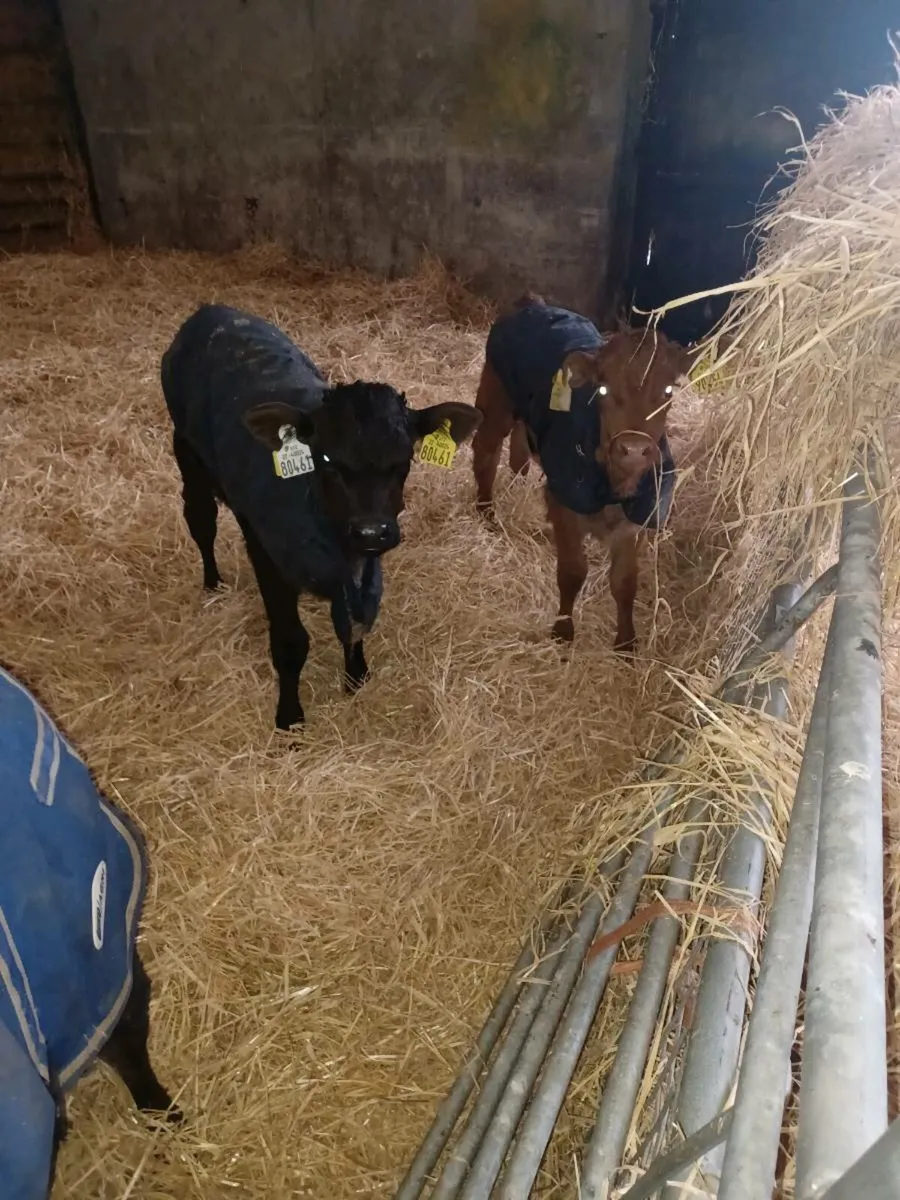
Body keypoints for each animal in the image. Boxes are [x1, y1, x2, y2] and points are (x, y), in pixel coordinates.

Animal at [162, 304, 482, 730]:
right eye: (326, 457)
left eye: (405, 459)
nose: (371, 530)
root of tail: (212, 310)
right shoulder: (268, 555)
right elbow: (290, 641)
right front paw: (289, 716)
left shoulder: (365, 564)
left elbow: (356, 620)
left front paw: (356, 675)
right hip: (187, 452)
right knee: (201, 521)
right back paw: (212, 583)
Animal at [471, 294, 692, 653]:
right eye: (602, 389)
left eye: (669, 391)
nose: (633, 448)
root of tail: (533, 302)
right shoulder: (566, 507)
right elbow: (573, 572)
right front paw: (563, 631)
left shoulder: (635, 520)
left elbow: (625, 582)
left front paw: (626, 642)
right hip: (496, 396)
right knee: (485, 452)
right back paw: (486, 513)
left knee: (519, 447)